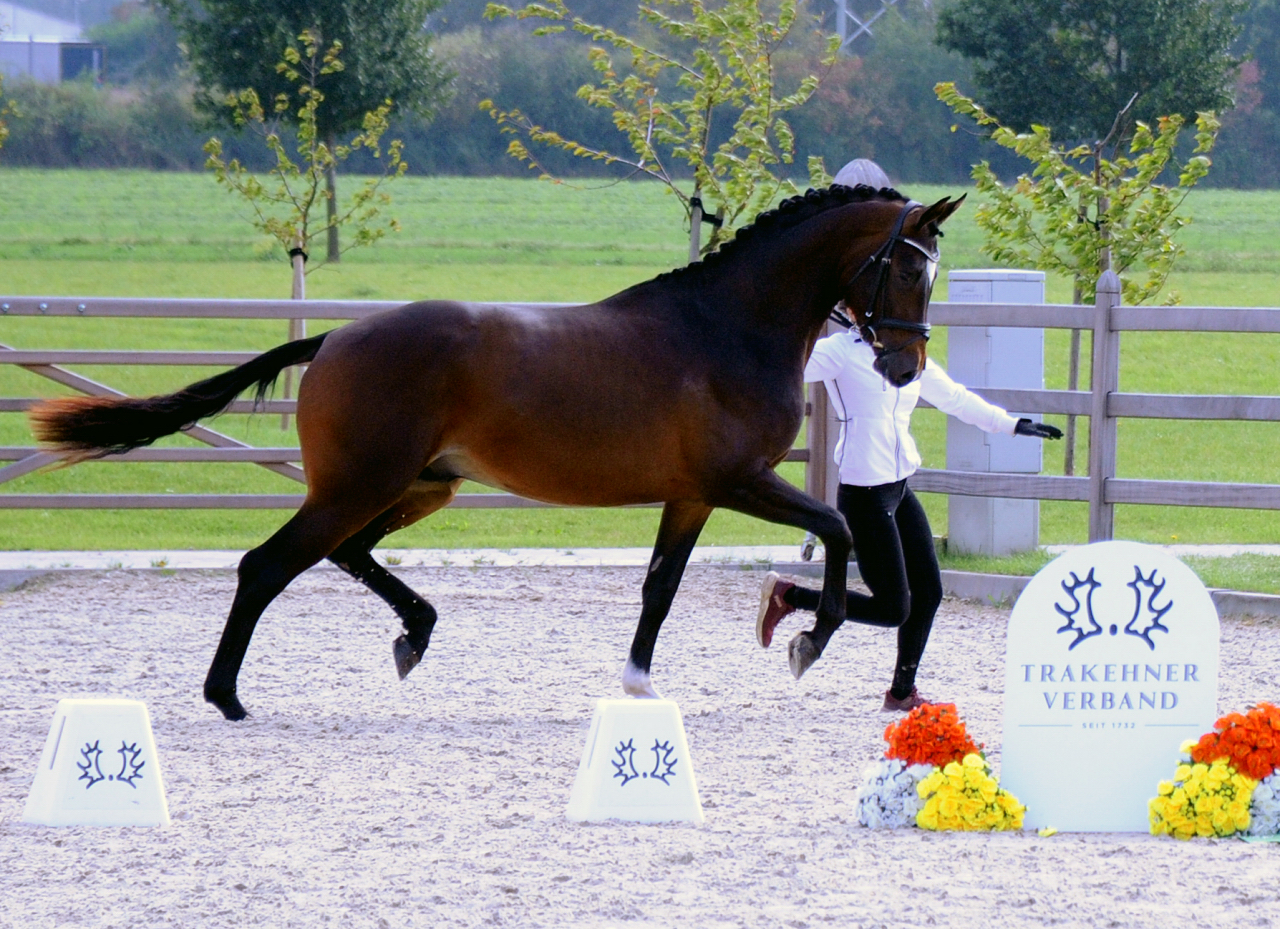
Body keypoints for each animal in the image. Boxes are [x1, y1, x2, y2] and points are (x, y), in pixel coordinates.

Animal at [27, 185, 962, 721]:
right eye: (905, 269)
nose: (903, 366)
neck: (725, 328)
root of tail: (335, 339)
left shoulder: (693, 494)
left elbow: (660, 588)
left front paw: (639, 683)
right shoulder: (738, 480)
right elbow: (837, 527)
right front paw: (809, 640)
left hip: (417, 488)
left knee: (347, 553)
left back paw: (414, 634)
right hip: (359, 485)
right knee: (267, 565)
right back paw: (227, 697)